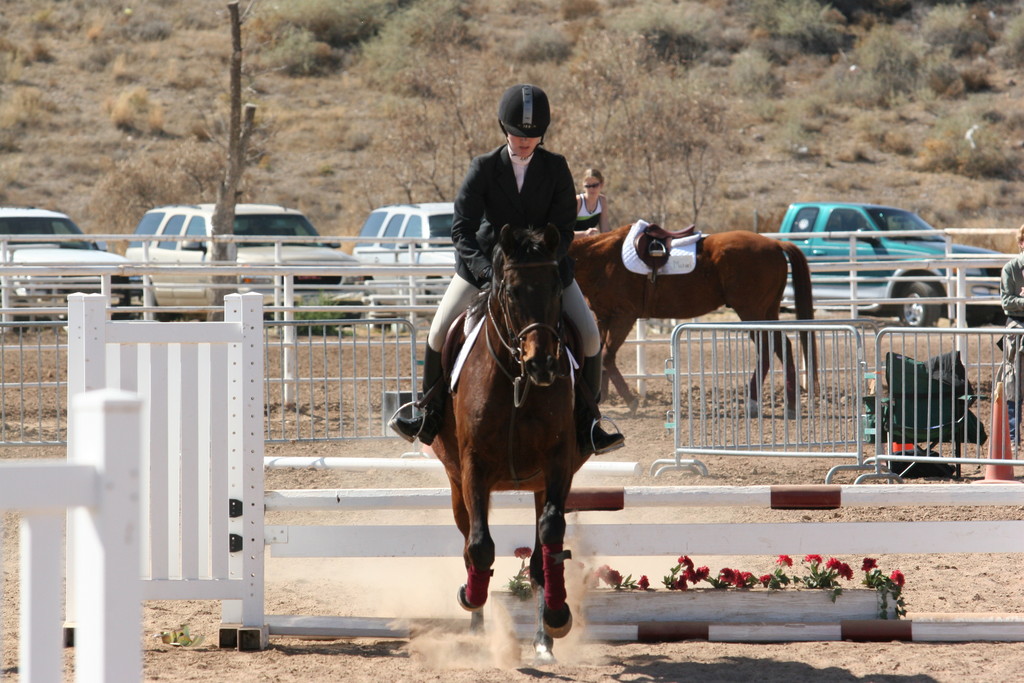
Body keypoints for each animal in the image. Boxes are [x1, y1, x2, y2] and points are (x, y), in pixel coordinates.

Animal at [430, 225, 585, 663]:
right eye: (512, 291)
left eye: (556, 287)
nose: (543, 365)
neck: (517, 381)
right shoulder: (473, 468)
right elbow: (480, 546)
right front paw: (470, 596)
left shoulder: (557, 465)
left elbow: (550, 537)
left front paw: (557, 618)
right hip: (457, 486)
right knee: (468, 539)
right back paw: (477, 624)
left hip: (537, 487)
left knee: (538, 556)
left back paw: (543, 641)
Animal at [569, 227, 815, 413]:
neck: (602, 260)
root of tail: (774, 244)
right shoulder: (603, 318)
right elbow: (600, 356)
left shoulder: (624, 316)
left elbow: (607, 356)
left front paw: (631, 402)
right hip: (768, 311)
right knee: (782, 346)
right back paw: (790, 404)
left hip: (751, 312)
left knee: (765, 350)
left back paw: (754, 402)